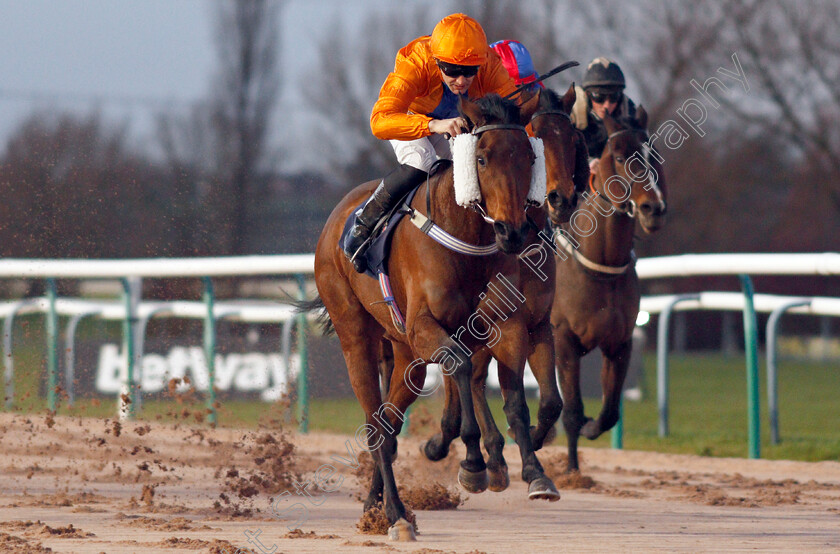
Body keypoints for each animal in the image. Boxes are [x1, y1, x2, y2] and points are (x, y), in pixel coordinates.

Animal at [420, 84, 592, 490]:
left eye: (573, 139)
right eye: (536, 136)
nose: (561, 199)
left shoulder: (535, 322)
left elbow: (550, 401)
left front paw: (532, 439)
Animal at [552, 105, 668, 468]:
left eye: (653, 155)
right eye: (618, 156)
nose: (653, 208)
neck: (600, 268)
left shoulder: (619, 342)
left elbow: (609, 412)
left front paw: (591, 427)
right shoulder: (563, 339)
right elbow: (572, 411)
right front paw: (572, 470)